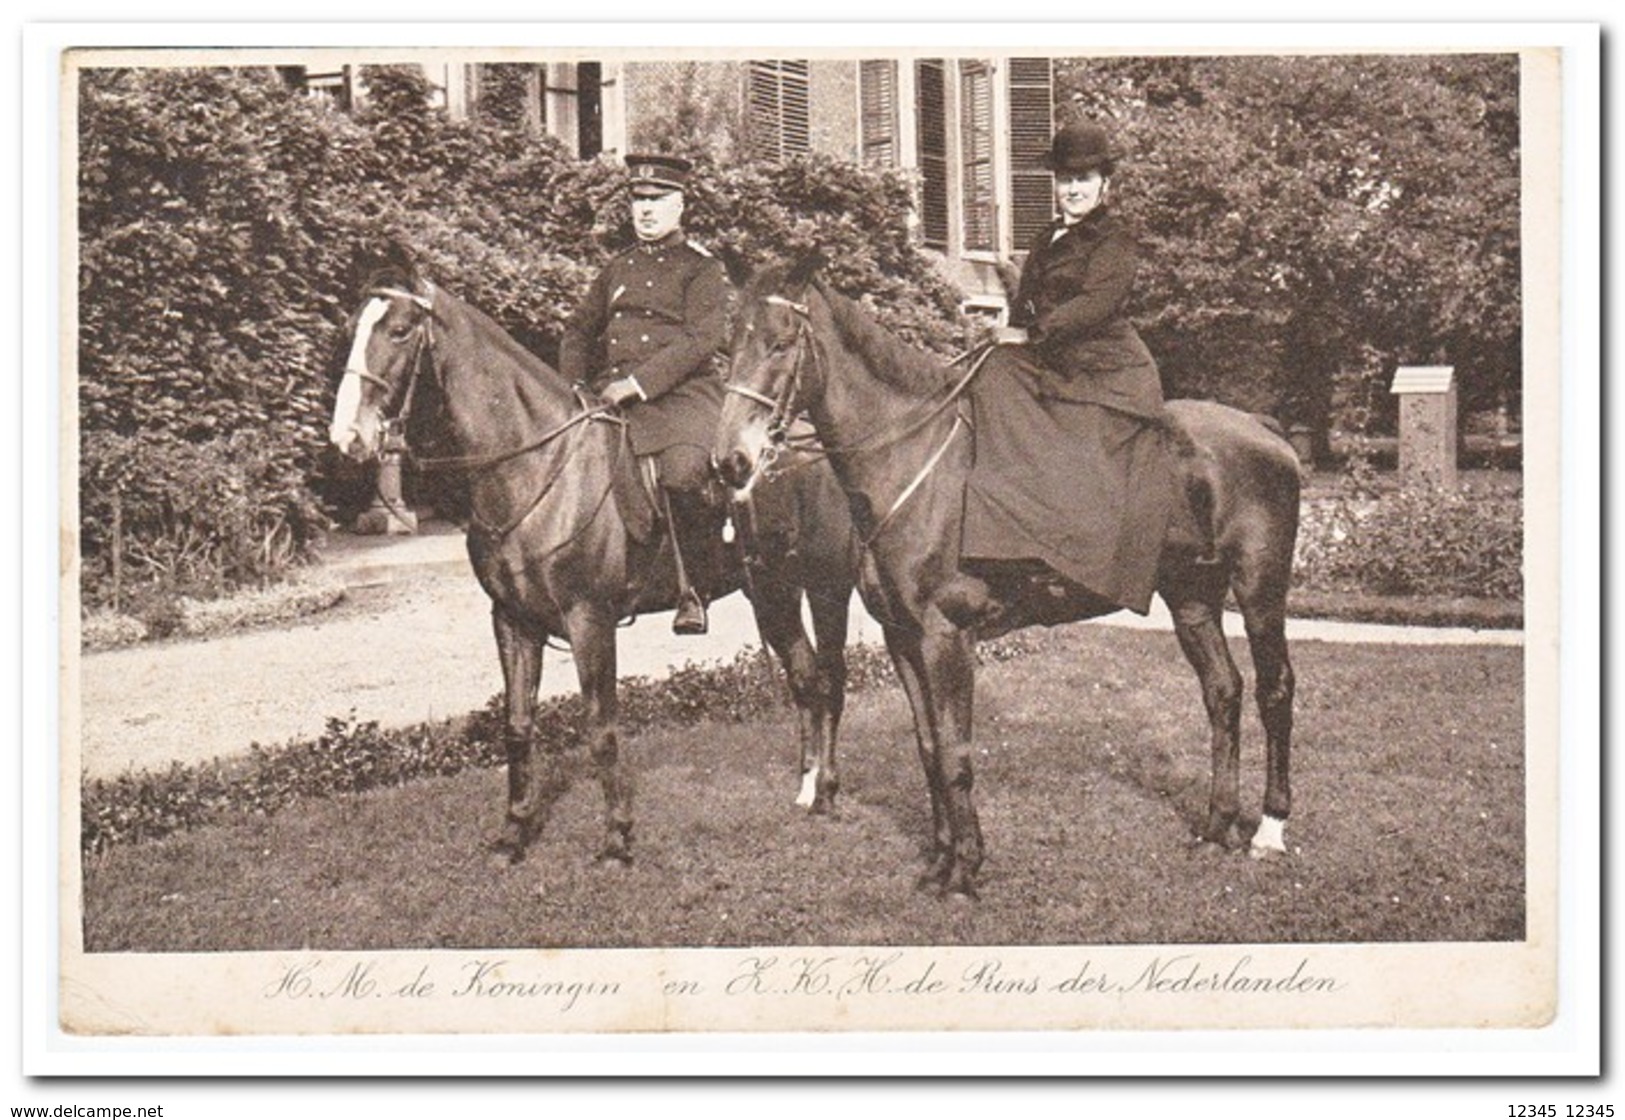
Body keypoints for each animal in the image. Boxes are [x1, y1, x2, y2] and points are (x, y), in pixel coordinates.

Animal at [333, 268, 864, 864]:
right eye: (351, 329)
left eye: (399, 330)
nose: (347, 436)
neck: (538, 464)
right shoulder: (513, 620)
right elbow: (517, 726)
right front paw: (514, 832)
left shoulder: (590, 618)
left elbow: (601, 727)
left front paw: (616, 837)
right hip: (771, 591)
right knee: (803, 676)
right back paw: (806, 786)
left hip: (826, 586)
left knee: (829, 678)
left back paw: (827, 791)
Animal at [718, 255, 1300, 897]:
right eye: (731, 341)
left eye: (780, 344)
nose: (730, 461)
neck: (912, 460)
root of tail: (1262, 427)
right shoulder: (902, 639)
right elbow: (930, 748)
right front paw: (940, 861)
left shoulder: (946, 636)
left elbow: (957, 754)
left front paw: (965, 868)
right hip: (1193, 597)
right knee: (1223, 692)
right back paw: (1218, 825)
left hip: (1260, 588)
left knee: (1275, 690)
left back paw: (1269, 829)